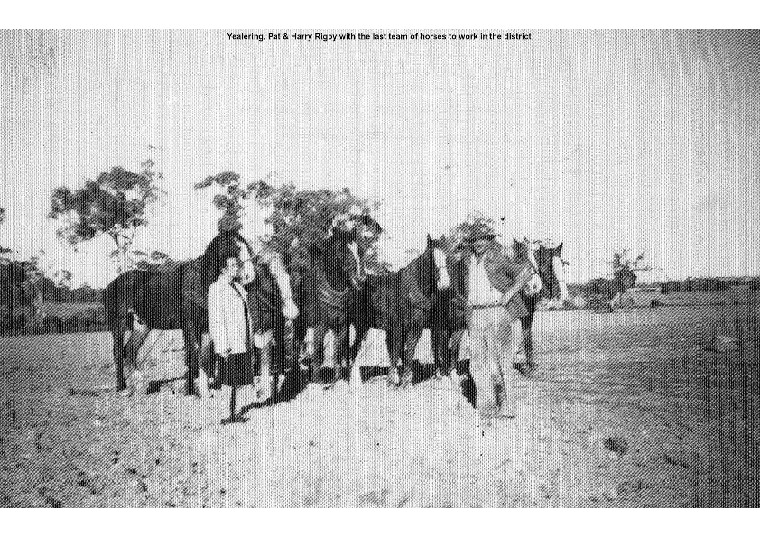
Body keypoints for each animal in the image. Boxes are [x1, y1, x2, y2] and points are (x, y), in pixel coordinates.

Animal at [103, 230, 296, 394]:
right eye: (233, 247)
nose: (249, 275)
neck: (201, 283)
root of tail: (111, 284)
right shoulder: (190, 325)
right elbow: (193, 353)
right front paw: (192, 389)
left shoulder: (208, 326)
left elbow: (205, 355)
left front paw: (204, 388)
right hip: (119, 323)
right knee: (119, 351)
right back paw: (122, 387)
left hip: (142, 325)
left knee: (131, 350)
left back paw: (140, 384)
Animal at [290, 228, 366, 384]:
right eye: (342, 249)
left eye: (359, 250)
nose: (360, 279)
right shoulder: (320, 326)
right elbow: (319, 353)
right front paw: (317, 381)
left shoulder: (342, 326)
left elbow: (337, 351)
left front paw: (337, 379)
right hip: (300, 323)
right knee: (297, 344)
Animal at [350, 234, 452, 386]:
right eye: (431, 259)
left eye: (448, 257)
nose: (445, 284)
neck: (411, 291)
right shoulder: (397, 327)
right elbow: (396, 350)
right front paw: (392, 380)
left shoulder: (416, 327)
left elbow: (409, 351)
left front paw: (406, 381)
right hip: (359, 326)